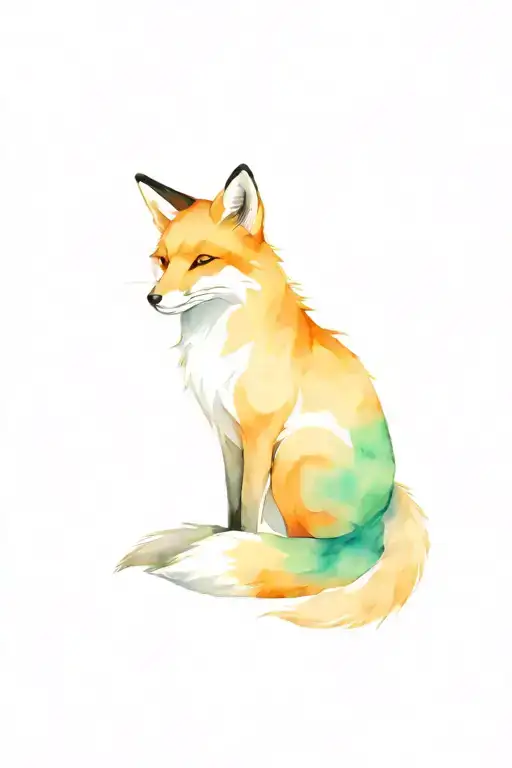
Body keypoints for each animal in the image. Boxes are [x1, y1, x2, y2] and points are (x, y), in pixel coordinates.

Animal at [116, 163, 429, 629]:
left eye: (203, 260)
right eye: (163, 260)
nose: (153, 298)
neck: (218, 345)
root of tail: (383, 511)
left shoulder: (260, 435)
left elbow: (247, 511)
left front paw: (244, 547)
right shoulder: (228, 437)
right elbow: (233, 506)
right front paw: (228, 537)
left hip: (293, 457)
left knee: (322, 556)